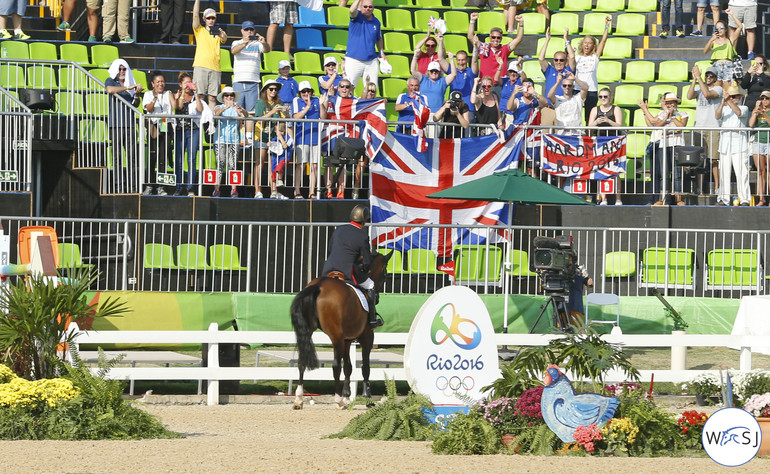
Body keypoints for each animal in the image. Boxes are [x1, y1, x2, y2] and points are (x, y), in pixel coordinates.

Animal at [292, 250, 392, 410]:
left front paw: (347, 396)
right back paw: (338, 400)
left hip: (309, 332)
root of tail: (318, 285)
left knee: (302, 361)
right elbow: (365, 367)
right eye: (386, 273)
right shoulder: (367, 337)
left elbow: (349, 367)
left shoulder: (347, 340)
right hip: (336, 337)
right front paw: (367, 397)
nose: (376, 298)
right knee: (335, 366)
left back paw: (299, 399)